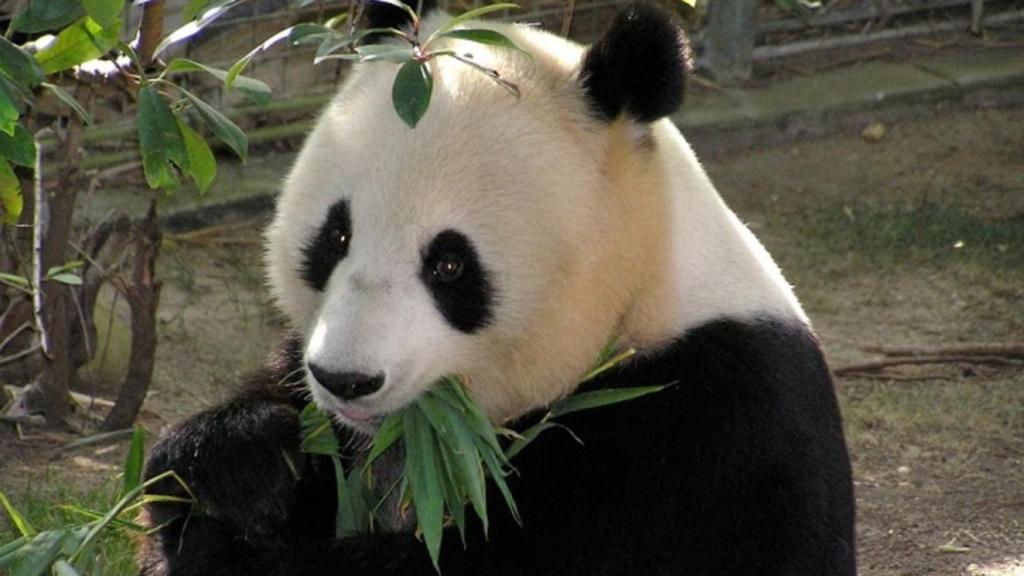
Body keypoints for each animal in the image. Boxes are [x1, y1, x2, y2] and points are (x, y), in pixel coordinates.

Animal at [137, 1, 856, 575]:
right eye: (336, 237)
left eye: (450, 266)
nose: (346, 380)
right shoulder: (321, 395)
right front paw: (241, 464)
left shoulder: (697, 425)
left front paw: (228, 544)